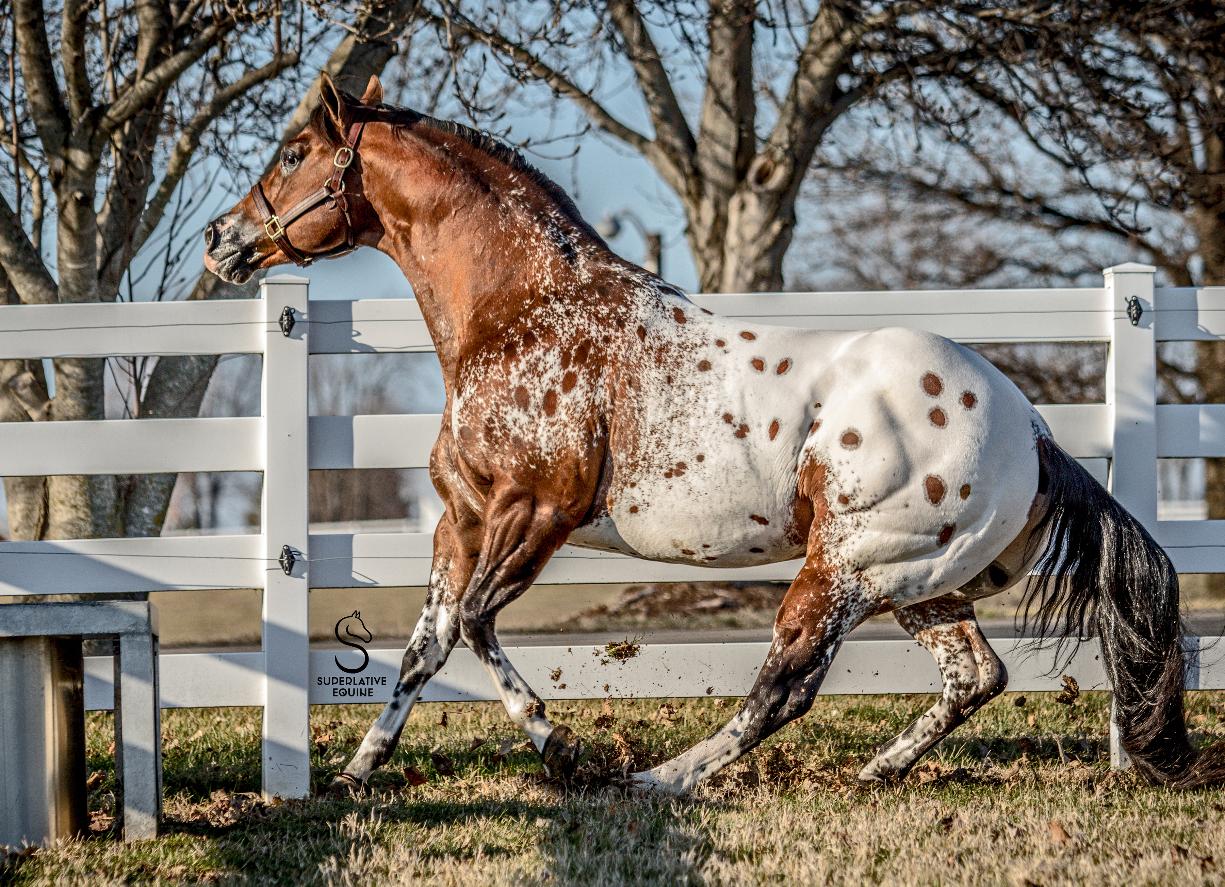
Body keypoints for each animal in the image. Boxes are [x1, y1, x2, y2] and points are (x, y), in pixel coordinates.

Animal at [204, 73, 1225, 794]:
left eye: (294, 151)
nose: (220, 240)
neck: (519, 312)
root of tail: (1033, 428)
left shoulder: (534, 511)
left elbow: (474, 623)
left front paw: (564, 750)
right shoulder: (461, 519)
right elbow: (428, 643)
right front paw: (356, 770)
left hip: (845, 567)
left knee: (786, 686)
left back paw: (662, 779)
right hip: (919, 581)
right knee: (975, 675)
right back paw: (877, 768)